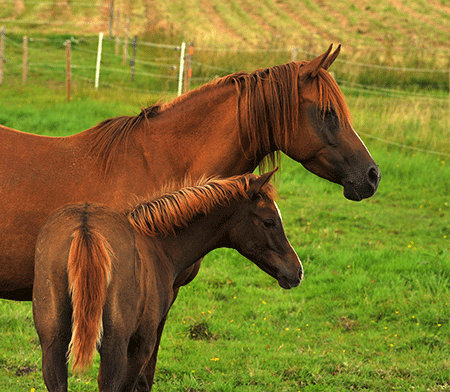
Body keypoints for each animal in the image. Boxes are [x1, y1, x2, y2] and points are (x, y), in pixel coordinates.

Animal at [33, 170, 300, 390]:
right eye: (269, 221)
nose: (297, 272)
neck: (158, 246)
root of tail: (85, 228)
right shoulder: (142, 343)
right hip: (115, 344)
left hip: (53, 340)